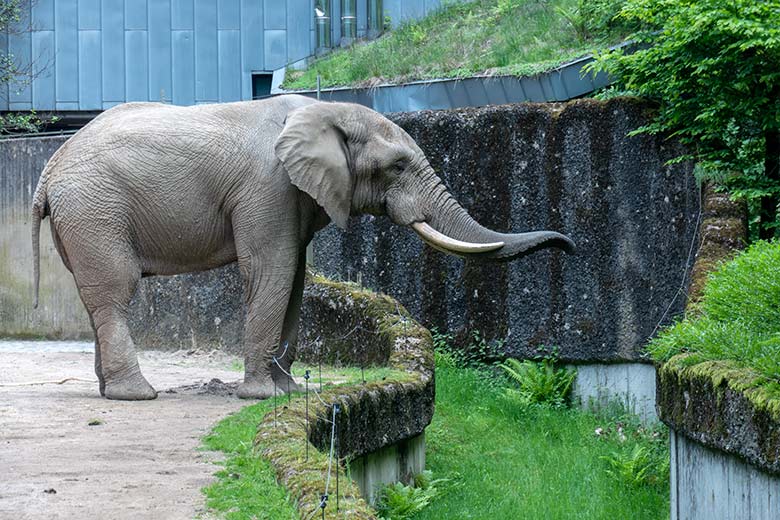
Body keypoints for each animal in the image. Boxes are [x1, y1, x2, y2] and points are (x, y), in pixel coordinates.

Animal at [30, 94, 576, 402]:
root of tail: (50, 167)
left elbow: (295, 278)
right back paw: (138, 397)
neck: (324, 112)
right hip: (95, 208)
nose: (570, 246)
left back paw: (111, 391)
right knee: (115, 293)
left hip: (84, 216)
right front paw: (259, 398)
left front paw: (287, 391)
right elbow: (272, 270)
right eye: (398, 167)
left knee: (96, 297)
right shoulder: (267, 186)